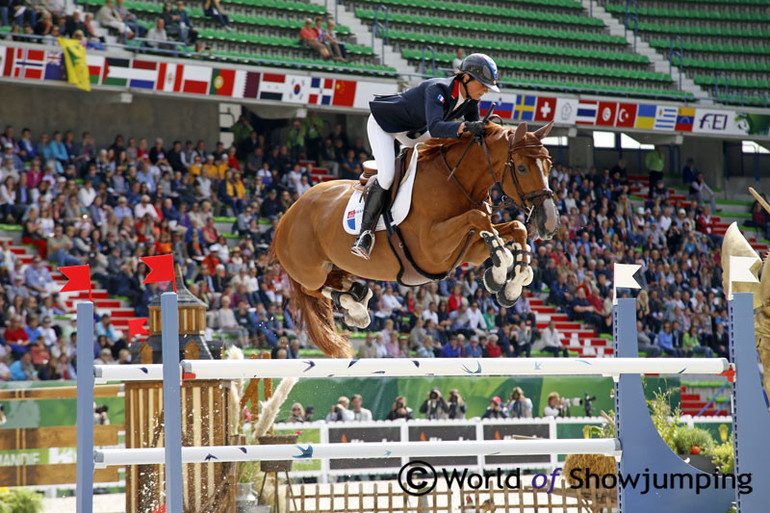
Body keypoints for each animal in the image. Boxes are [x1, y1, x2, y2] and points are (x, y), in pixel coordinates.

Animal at [272, 122, 560, 358]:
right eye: (521, 168)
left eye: (549, 166)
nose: (549, 222)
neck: (455, 182)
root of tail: (287, 215)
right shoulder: (431, 251)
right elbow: (479, 218)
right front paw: (500, 272)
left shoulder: (469, 251)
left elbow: (514, 227)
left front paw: (512, 285)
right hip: (309, 269)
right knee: (313, 288)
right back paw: (355, 305)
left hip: (338, 263)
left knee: (336, 282)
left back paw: (357, 301)